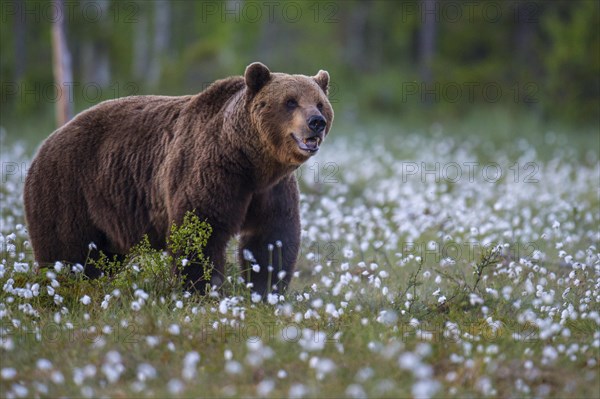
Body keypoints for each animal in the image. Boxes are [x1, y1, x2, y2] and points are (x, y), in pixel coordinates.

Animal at [24, 61, 332, 294]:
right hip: (69, 189)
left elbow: (272, 238)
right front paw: (200, 290)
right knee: (66, 252)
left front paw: (265, 291)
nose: (316, 122)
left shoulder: (271, 190)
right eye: (290, 102)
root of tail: (44, 144)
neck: (251, 160)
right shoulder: (211, 171)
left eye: (319, 103)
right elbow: (199, 231)